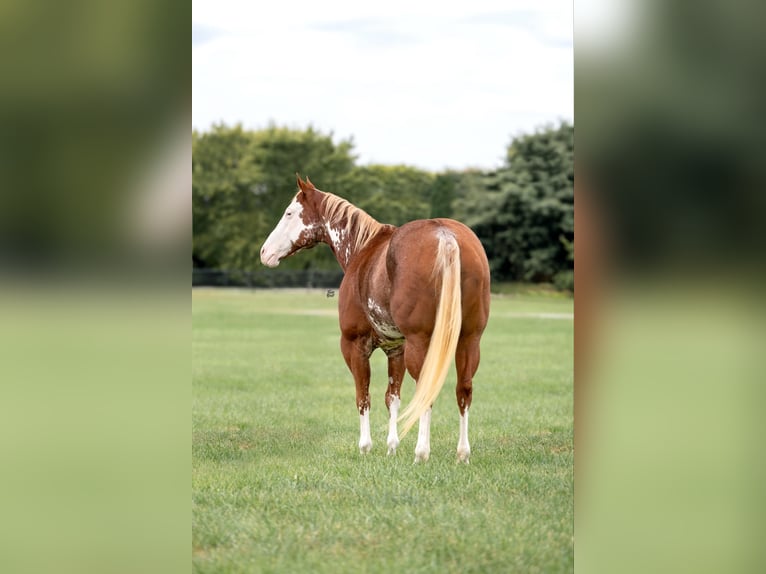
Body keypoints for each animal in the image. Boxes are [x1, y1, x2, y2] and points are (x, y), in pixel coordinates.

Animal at [260, 175, 490, 463]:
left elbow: (363, 395)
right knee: (464, 390)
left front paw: (365, 447)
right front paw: (392, 446)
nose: (264, 252)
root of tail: (444, 235)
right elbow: (392, 397)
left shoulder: (355, 345)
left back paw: (421, 453)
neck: (363, 249)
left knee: (426, 391)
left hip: (421, 343)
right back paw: (462, 453)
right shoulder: (396, 349)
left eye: (289, 213)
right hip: (470, 339)